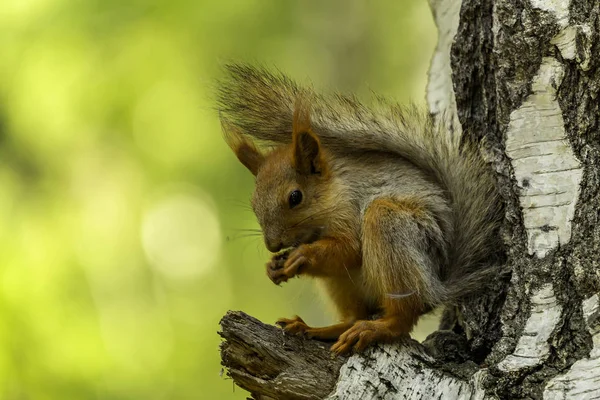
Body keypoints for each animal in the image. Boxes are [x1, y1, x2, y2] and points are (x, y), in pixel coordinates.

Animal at [218, 64, 504, 354]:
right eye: (254, 203)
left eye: (295, 197)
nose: (272, 245)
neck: (332, 194)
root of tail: (437, 287)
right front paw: (273, 265)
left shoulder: (350, 208)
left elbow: (350, 249)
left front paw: (301, 255)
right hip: (340, 283)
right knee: (353, 316)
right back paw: (318, 329)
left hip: (390, 228)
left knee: (403, 316)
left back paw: (377, 328)